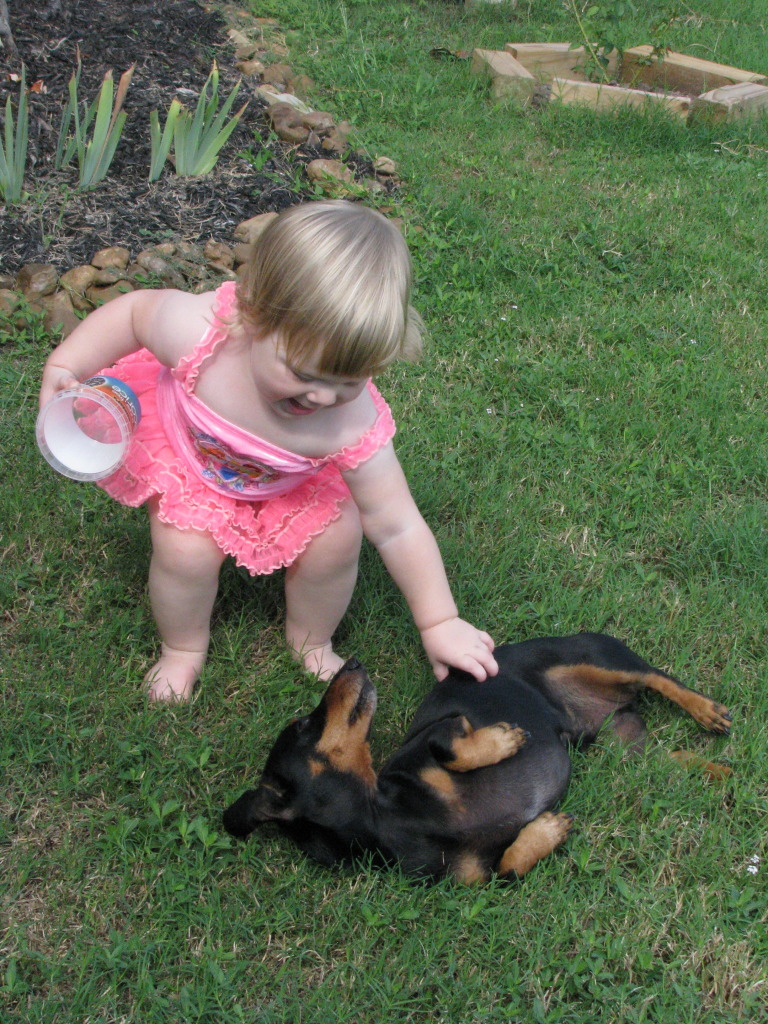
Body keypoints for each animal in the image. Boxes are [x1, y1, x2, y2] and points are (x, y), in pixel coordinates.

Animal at [223, 633, 731, 884]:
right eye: (303, 726)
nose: (352, 665)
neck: (386, 816)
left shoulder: (444, 727)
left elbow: (447, 747)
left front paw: (504, 741)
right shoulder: (477, 879)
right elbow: (509, 867)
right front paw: (546, 830)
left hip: (599, 659)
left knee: (659, 676)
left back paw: (707, 711)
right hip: (618, 746)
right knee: (659, 761)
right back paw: (715, 770)